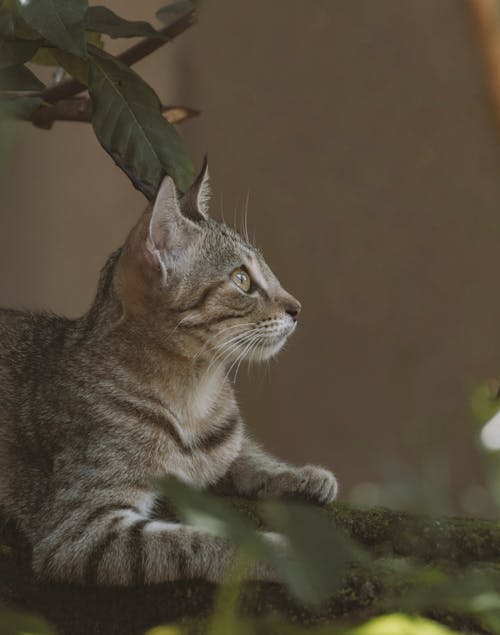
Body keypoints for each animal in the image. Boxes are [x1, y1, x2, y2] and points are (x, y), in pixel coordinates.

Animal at [0, 163, 340, 588]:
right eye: (242, 280)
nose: (297, 308)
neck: (195, 395)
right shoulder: (78, 530)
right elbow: (196, 542)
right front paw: (279, 554)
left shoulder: (224, 446)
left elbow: (246, 454)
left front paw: (298, 475)